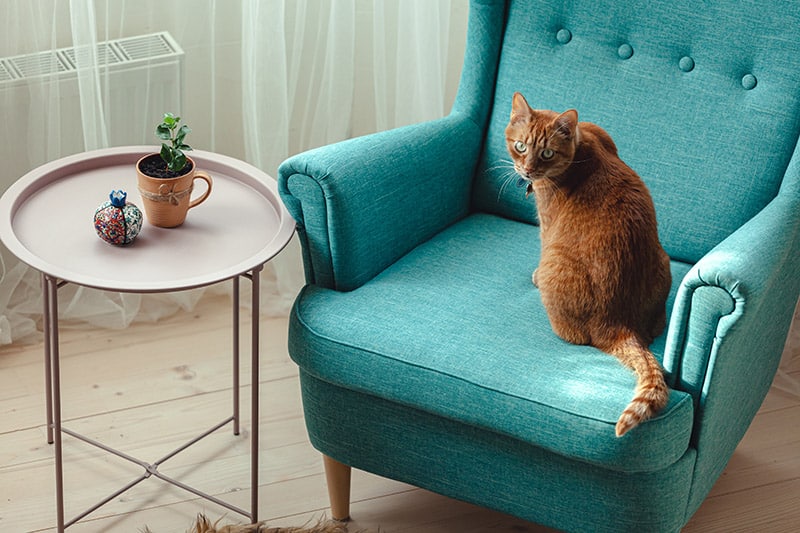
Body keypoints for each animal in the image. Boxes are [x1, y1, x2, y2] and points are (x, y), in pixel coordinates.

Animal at [506, 91, 676, 434]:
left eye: (546, 153)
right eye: (520, 146)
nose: (527, 171)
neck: (583, 144)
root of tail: (618, 323)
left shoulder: (547, 225)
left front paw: (532, 276)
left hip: (555, 265)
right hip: (662, 262)